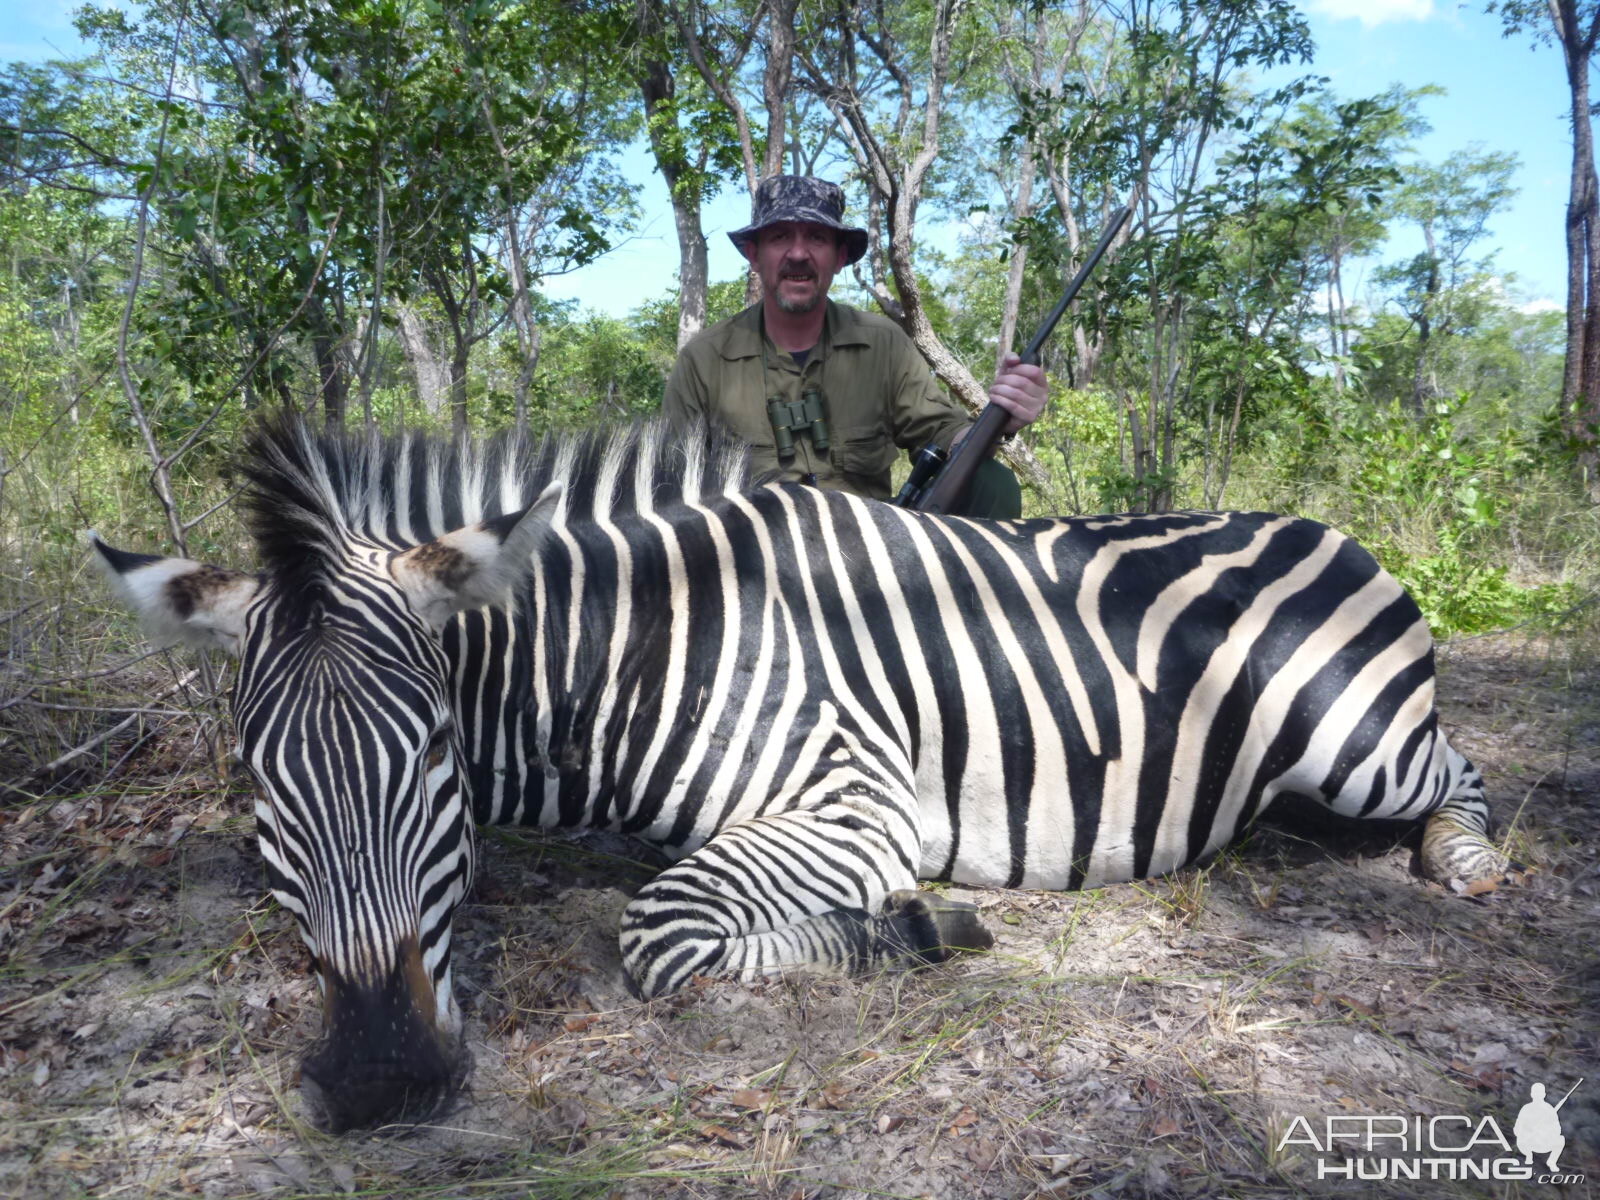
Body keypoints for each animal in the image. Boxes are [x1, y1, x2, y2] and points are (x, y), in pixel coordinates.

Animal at [87, 419, 1510, 1132]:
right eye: (261, 786)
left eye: (434, 754)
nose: (383, 1081)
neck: (650, 646)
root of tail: (1326, 523)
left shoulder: (856, 798)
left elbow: (658, 932)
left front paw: (921, 928)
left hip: (1354, 740)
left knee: (1462, 767)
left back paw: (1472, 866)